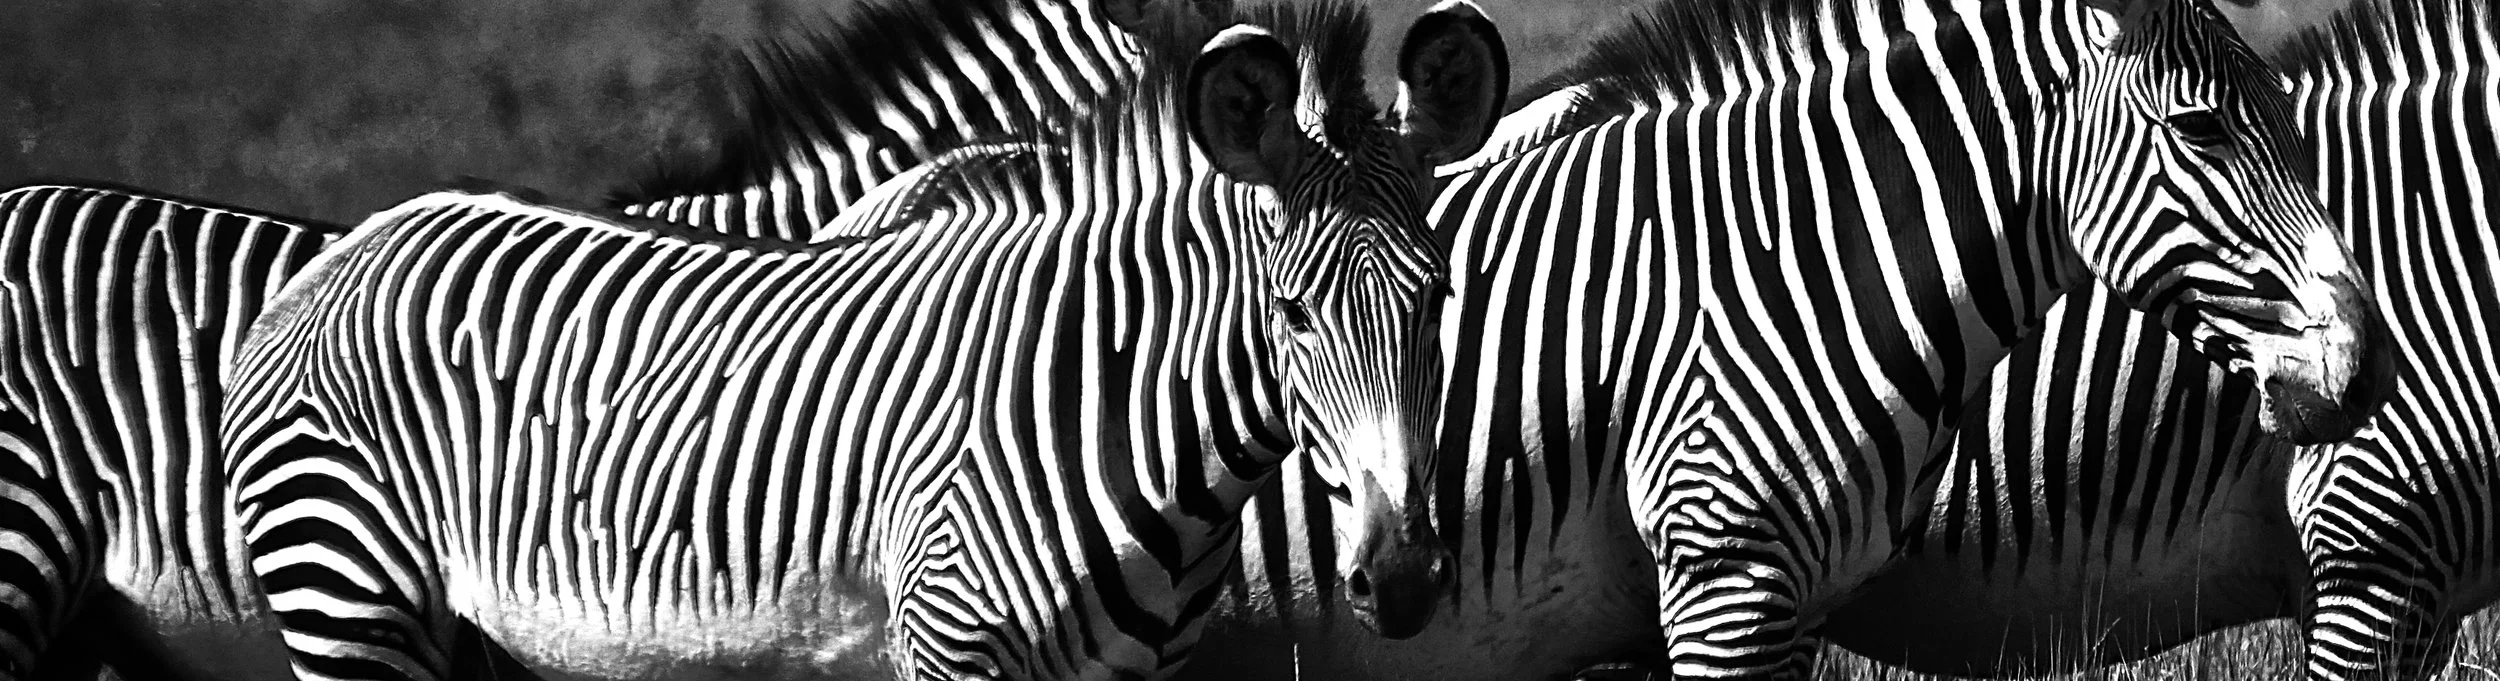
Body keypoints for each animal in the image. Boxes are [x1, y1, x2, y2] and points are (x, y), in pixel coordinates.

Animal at [215, 2, 1508, 679]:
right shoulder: (943, 650)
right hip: (349, 600)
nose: (1403, 579)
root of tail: (353, 242)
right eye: (1291, 314)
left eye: (1442, 294)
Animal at [1177, 0, 2403, 678]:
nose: (2367, 366)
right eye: (2201, 129)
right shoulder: (1720, 582)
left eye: (2293, 115)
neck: (1782, 275)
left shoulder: (1795, 606)